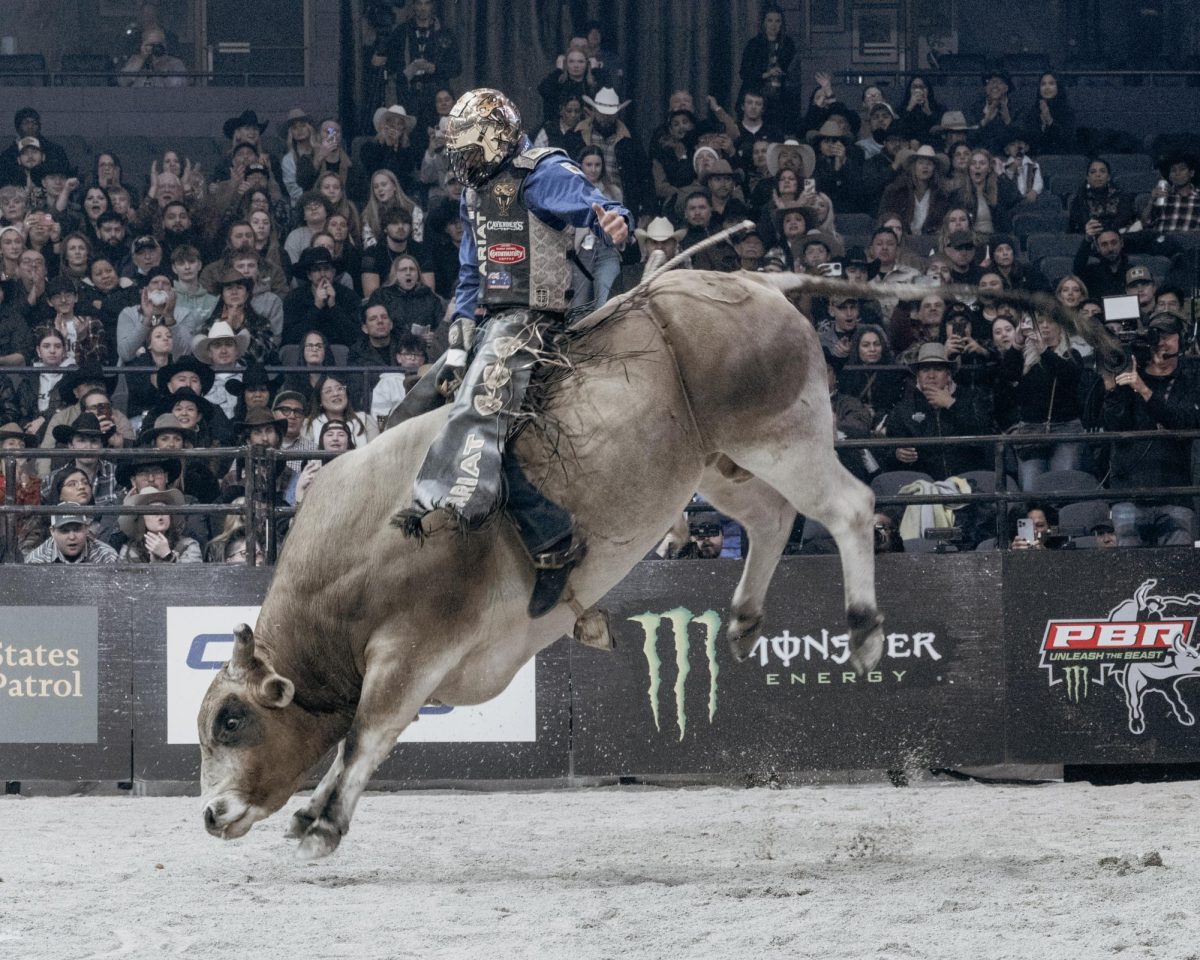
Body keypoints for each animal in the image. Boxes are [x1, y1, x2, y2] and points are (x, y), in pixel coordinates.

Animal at [196, 253, 1123, 854]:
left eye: (231, 719)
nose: (208, 815)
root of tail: (755, 282)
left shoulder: (412, 647)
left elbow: (368, 734)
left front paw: (320, 821)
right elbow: (368, 736)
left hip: (779, 433)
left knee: (850, 507)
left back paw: (862, 627)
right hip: (718, 464)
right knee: (773, 518)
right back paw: (744, 618)